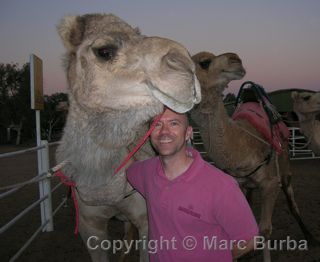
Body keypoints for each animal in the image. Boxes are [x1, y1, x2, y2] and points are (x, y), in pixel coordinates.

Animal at [190, 51, 318, 262]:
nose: (235, 58)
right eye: (205, 62)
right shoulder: (237, 183)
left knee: (292, 201)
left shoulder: (271, 183)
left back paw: (311, 237)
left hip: (285, 166)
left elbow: (265, 229)